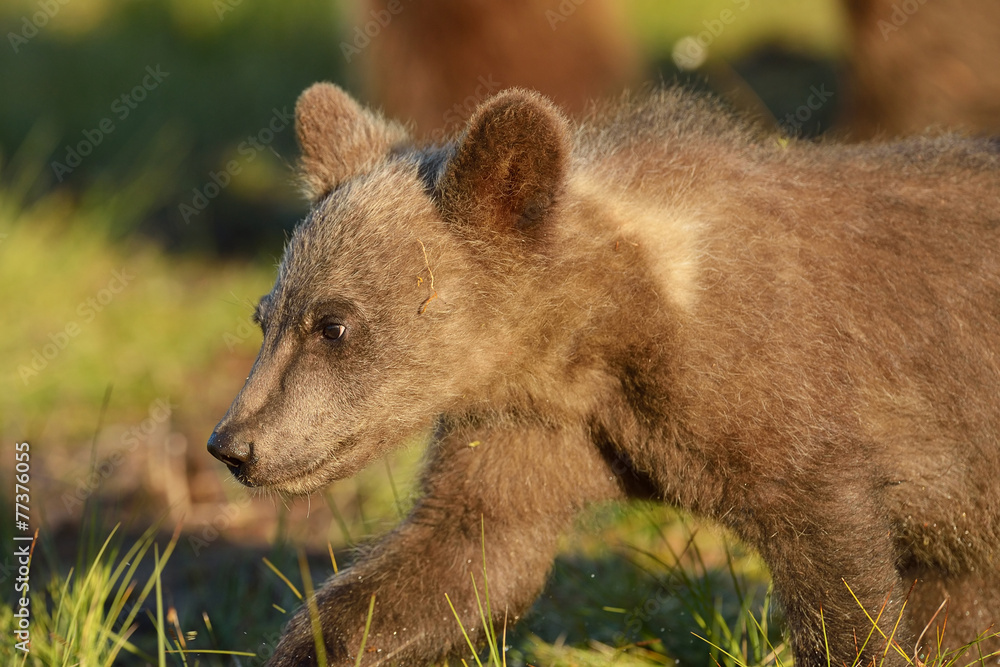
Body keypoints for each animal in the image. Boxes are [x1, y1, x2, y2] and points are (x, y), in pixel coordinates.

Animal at [207, 82, 1000, 666]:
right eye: (266, 314)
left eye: (333, 324)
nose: (232, 443)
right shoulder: (539, 423)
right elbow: (467, 552)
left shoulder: (785, 398)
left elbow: (841, 573)